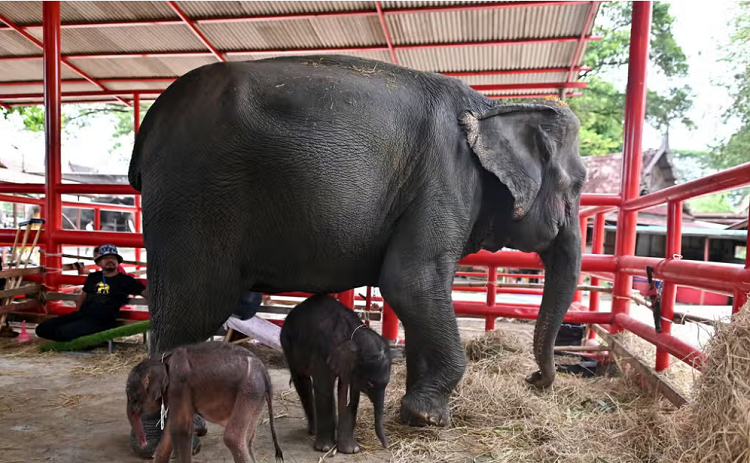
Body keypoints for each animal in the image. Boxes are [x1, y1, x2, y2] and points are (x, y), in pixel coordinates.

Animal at [127, 340, 284, 463]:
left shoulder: (179, 384)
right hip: (256, 396)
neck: (162, 360)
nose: (143, 443)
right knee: (248, 439)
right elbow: (169, 432)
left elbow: (181, 429)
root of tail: (265, 373)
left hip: (250, 389)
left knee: (233, 438)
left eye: (133, 398)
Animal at [129, 56, 588, 430]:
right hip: (196, 198)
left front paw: (416, 410)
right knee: (190, 311)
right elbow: (411, 282)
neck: (493, 104)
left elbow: (419, 294)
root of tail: (150, 124)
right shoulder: (446, 181)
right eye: (579, 184)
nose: (535, 379)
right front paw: (429, 417)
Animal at [282, 296, 394, 454]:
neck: (354, 334)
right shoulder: (322, 352)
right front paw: (325, 448)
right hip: (288, 346)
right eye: (370, 383)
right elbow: (325, 389)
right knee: (302, 381)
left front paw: (351, 450)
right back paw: (313, 431)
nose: (387, 446)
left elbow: (349, 394)